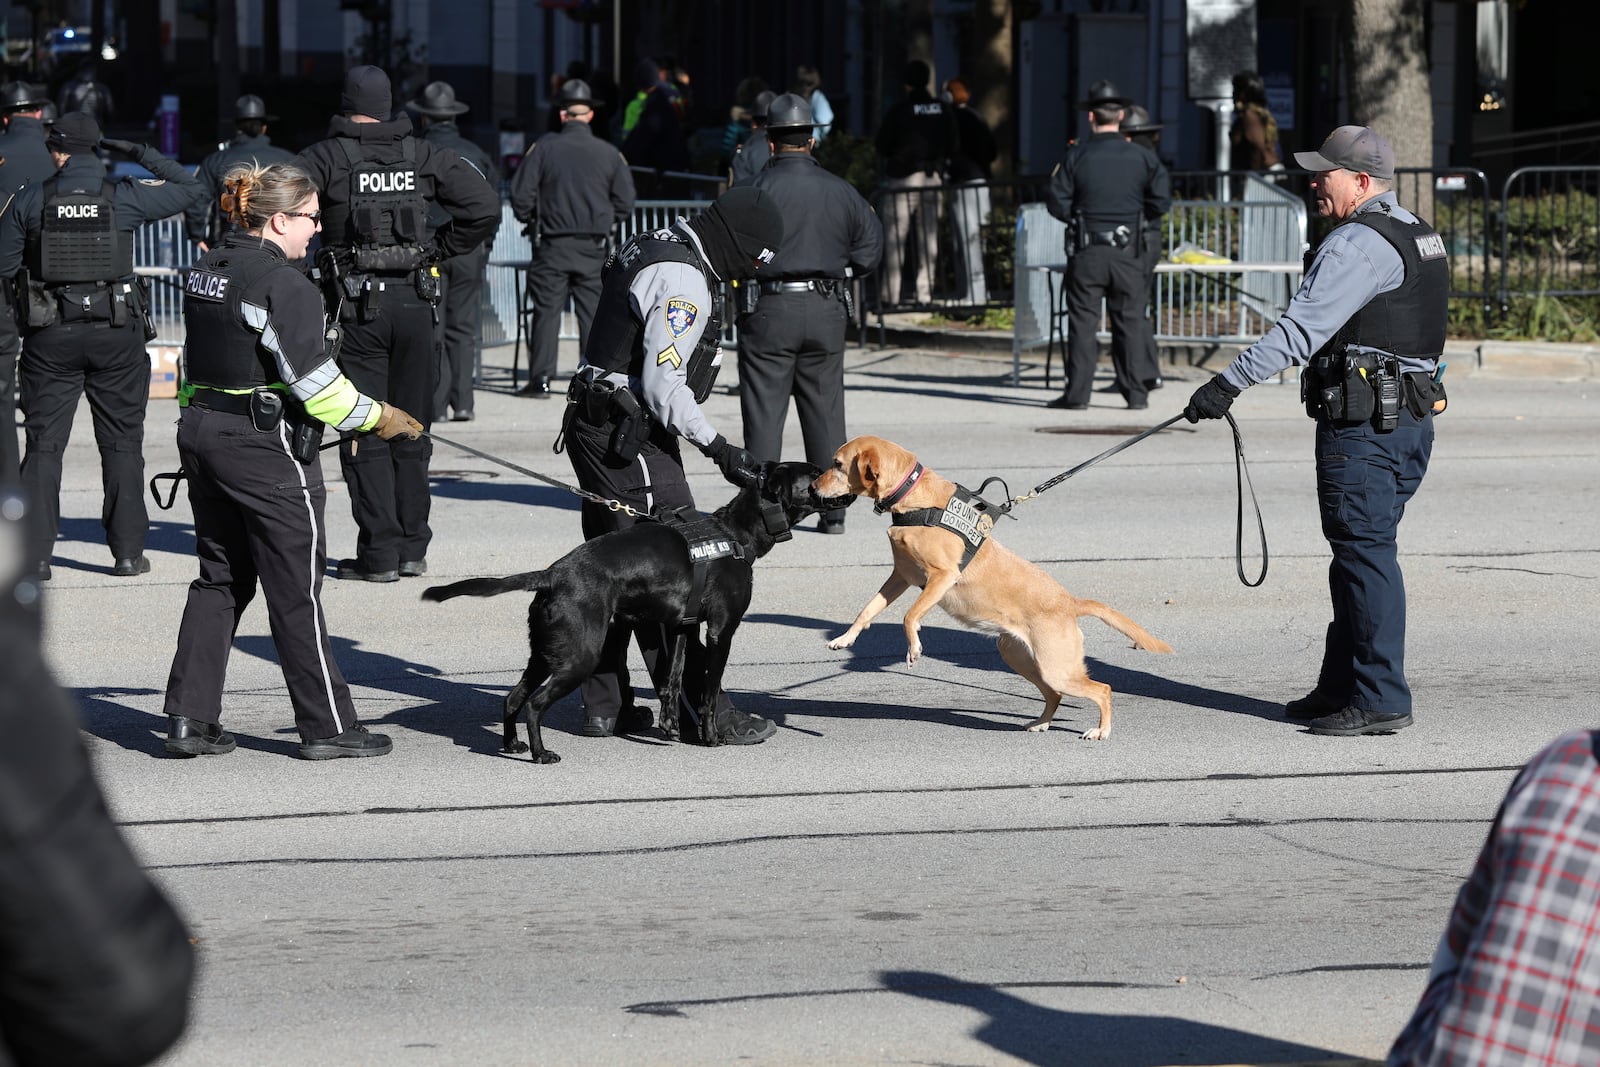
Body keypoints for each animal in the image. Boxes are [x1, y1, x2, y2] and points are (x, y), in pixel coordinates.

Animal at [425, 463, 851, 764]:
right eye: (816, 473)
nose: (848, 478)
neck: (735, 534)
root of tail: (552, 574)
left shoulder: (681, 628)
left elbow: (672, 681)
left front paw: (670, 727)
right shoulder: (720, 632)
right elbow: (709, 690)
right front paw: (711, 737)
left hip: (546, 652)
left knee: (513, 698)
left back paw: (512, 744)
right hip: (579, 656)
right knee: (533, 703)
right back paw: (540, 753)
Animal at [819, 435, 1171, 742]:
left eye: (837, 464)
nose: (812, 486)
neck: (915, 499)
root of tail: (1070, 602)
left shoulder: (942, 577)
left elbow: (910, 616)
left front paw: (914, 647)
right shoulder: (900, 576)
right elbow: (867, 610)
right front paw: (844, 638)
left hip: (1055, 667)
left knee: (1103, 690)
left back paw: (1101, 730)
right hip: (1020, 657)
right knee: (1054, 694)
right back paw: (1042, 722)